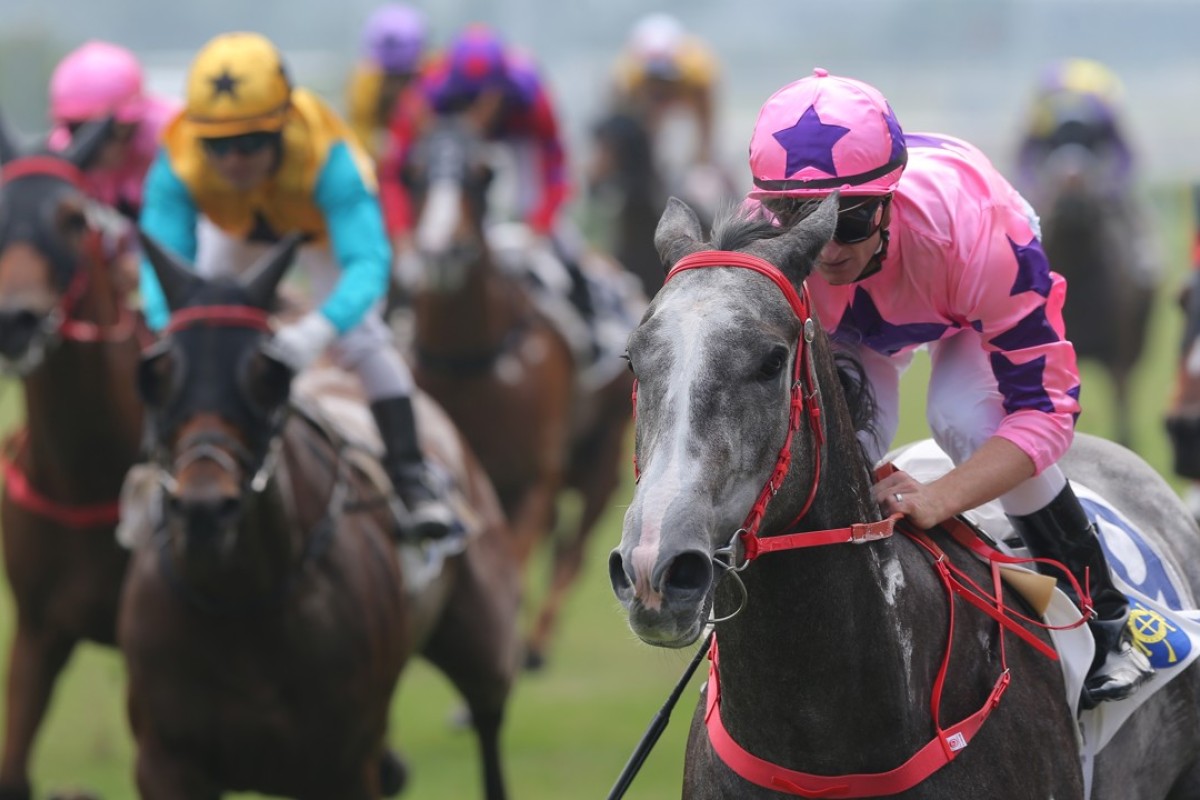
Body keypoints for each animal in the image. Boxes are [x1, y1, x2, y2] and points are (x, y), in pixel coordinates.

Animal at [121, 235, 520, 796]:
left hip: (483, 642)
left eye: (268, 375)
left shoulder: (344, 762)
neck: (241, 602)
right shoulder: (165, 760)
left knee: (487, 722)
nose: (205, 508)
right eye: (155, 373)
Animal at [405, 115, 638, 671]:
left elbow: (518, 554)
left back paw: (536, 642)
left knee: (573, 550)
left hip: (602, 456)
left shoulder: (533, 475)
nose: (441, 253)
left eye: (483, 174)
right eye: (412, 173)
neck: (472, 365)